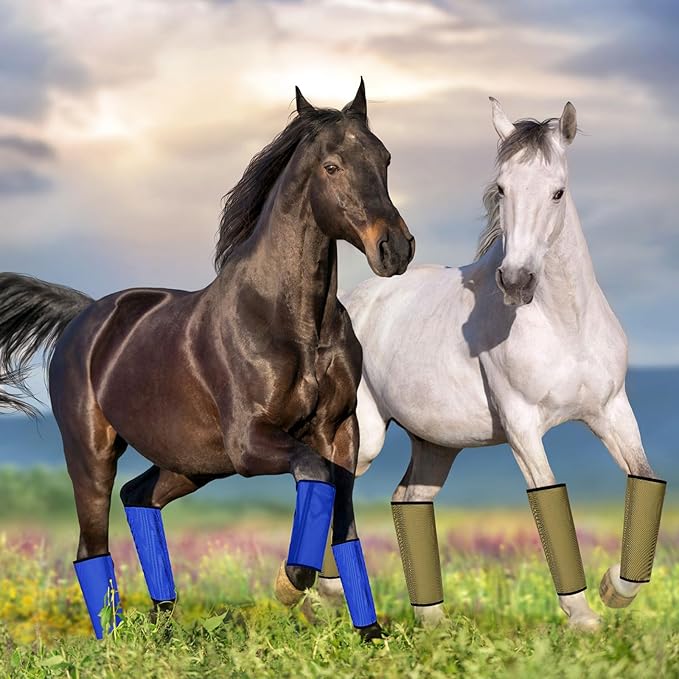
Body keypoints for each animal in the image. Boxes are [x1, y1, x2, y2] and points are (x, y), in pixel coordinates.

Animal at [0, 79, 414, 640]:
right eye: (332, 166)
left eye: (384, 158)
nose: (396, 249)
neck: (292, 322)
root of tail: (85, 315)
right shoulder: (251, 442)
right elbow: (315, 475)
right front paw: (292, 581)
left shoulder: (339, 431)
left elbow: (343, 521)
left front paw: (370, 635)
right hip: (92, 453)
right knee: (91, 547)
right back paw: (116, 642)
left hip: (192, 463)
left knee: (139, 497)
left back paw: (162, 623)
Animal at [318, 99, 665, 631]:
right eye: (501, 188)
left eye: (558, 191)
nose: (517, 281)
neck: (565, 325)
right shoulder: (522, 425)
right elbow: (548, 495)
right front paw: (583, 616)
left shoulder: (612, 412)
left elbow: (644, 480)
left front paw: (614, 588)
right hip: (368, 435)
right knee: (335, 485)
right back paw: (321, 592)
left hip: (436, 445)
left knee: (408, 500)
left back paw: (432, 620)